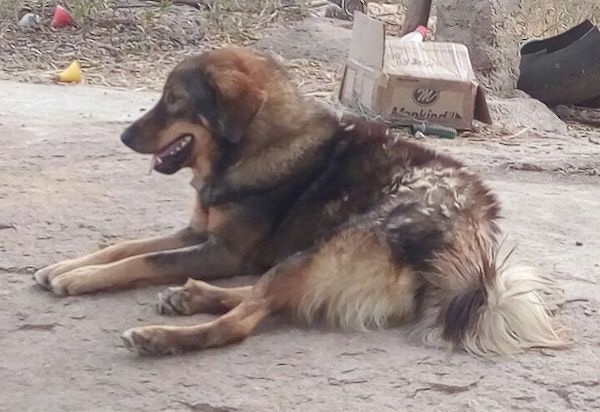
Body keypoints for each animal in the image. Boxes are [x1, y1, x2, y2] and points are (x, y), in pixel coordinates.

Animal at [34, 45, 568, 358]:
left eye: (173, 101)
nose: (124, 137)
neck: (255, 144)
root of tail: (470, 249)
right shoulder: (198, 232)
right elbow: (125, 247)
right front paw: (64, 266)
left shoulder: (222, 252)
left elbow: (143, 260)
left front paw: (79, 279)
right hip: (312, 257)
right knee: (263, 295)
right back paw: (190, 296)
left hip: (329, 246)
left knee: (243, 320)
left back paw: (161, 336)